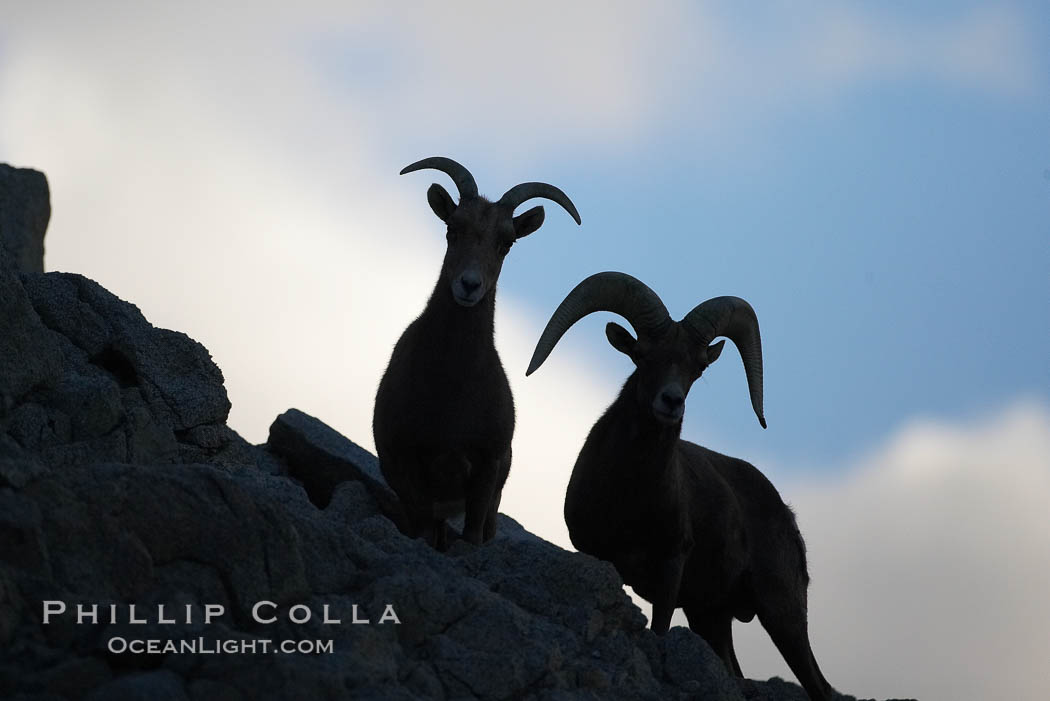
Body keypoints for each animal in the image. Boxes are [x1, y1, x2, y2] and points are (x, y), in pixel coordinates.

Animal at [374, 156, 581, 550]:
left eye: (507, 242)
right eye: (453, 228)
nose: (469, 285)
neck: (454, 389)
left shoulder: (488, 469)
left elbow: (472, 535)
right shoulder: (408, 465)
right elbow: (423, 528)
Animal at [526, 272, 833, 701]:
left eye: (697, 367)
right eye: (642, 355)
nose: (671, 402)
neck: (628, 497)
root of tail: (786, 514)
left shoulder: (670, 567)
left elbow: (660, 628)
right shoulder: (604, 557)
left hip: (781, 612)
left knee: (818, 684)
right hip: (712, 617)